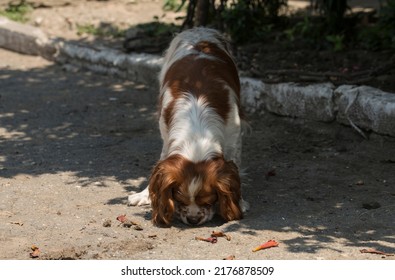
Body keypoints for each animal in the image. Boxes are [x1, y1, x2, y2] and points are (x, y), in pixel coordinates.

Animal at [128, 27, 249, 226]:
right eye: (179, 199)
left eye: (209, 200)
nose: (193, 219)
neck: (197, 134)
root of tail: (200, 31)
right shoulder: (166, 134)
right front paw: (144, 194)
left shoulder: (234, 135)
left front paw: (240, 202)